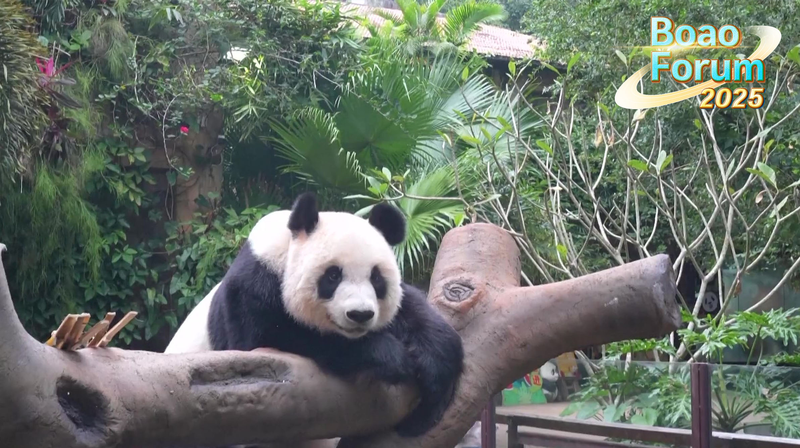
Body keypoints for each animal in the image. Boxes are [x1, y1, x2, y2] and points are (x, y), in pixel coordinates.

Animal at [165, 192, 465, 440]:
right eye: (333, 276)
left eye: (377, 278)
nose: (360, 315)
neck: (285, 246)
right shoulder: (251, 286)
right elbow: (268, 340)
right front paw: (391, 356)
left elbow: (416, 314)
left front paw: (434, 371)